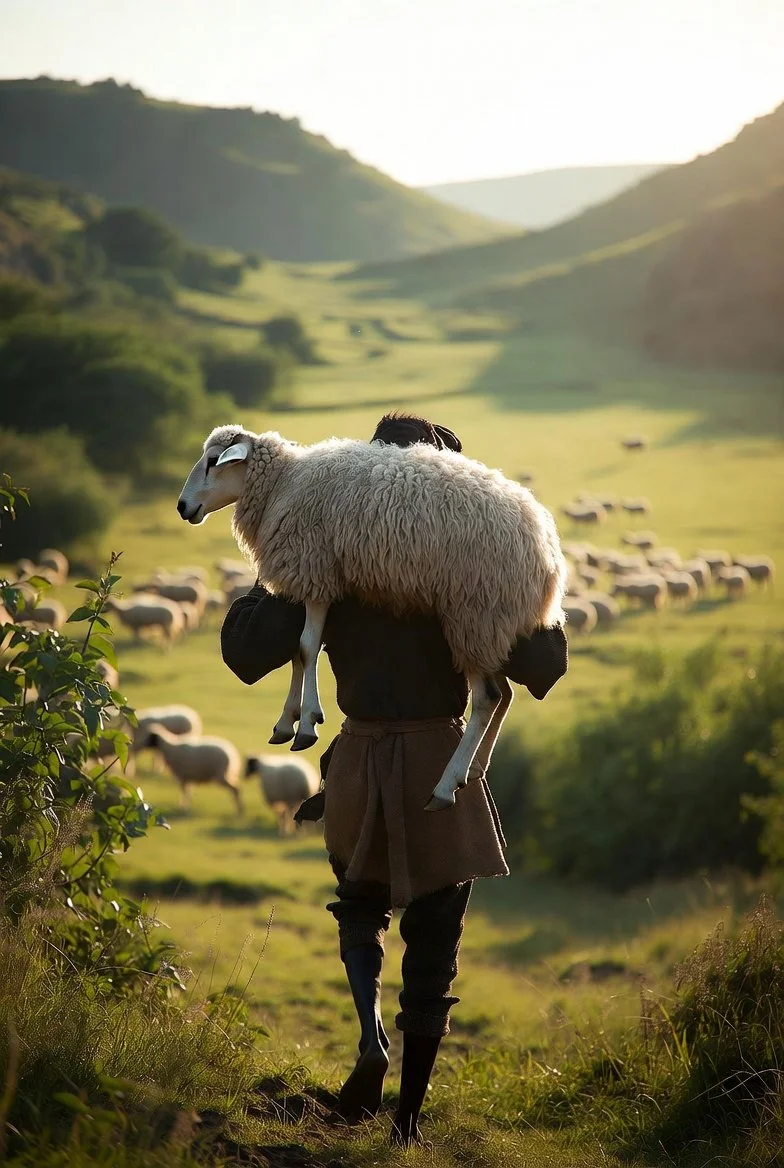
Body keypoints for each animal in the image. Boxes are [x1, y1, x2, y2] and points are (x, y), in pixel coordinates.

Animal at [178, 424, 567, 812]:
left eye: (213, 461)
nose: (182, 506)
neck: (284, 482)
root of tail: (547, 550)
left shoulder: (315, 571)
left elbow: (305, 649)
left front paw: (307, 723)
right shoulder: (314, 578)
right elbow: (298, 652)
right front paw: (288, 721)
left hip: (475, 611)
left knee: (487, 698)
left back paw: (446, 784)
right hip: (492, 624)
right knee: (504, 695)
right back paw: (473, 769)